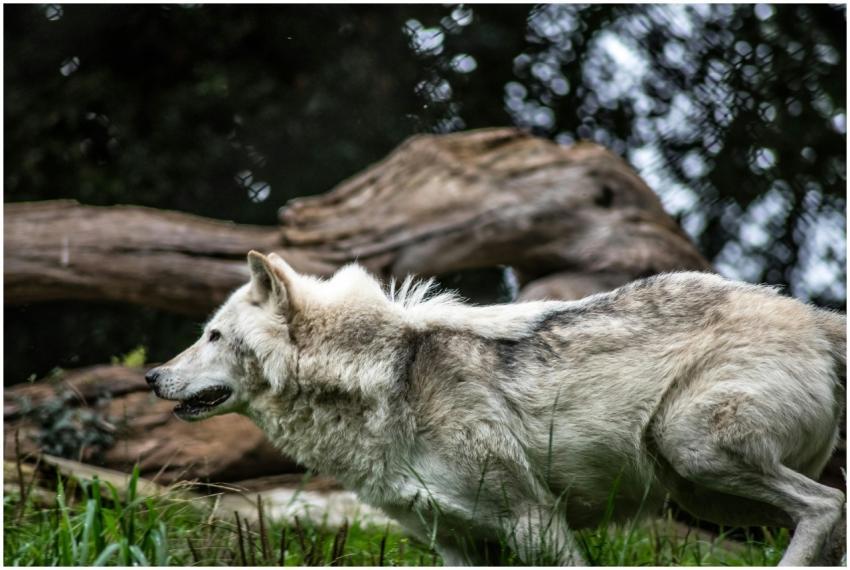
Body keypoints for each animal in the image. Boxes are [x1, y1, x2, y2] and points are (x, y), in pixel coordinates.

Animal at [146, 251, 846, 566]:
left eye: (212, 335)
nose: (152, 375)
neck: (378, 378)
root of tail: (812, 313)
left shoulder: (537, 522)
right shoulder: (454, 543)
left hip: (694, 452)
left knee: (824, 504)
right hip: (707, 494)